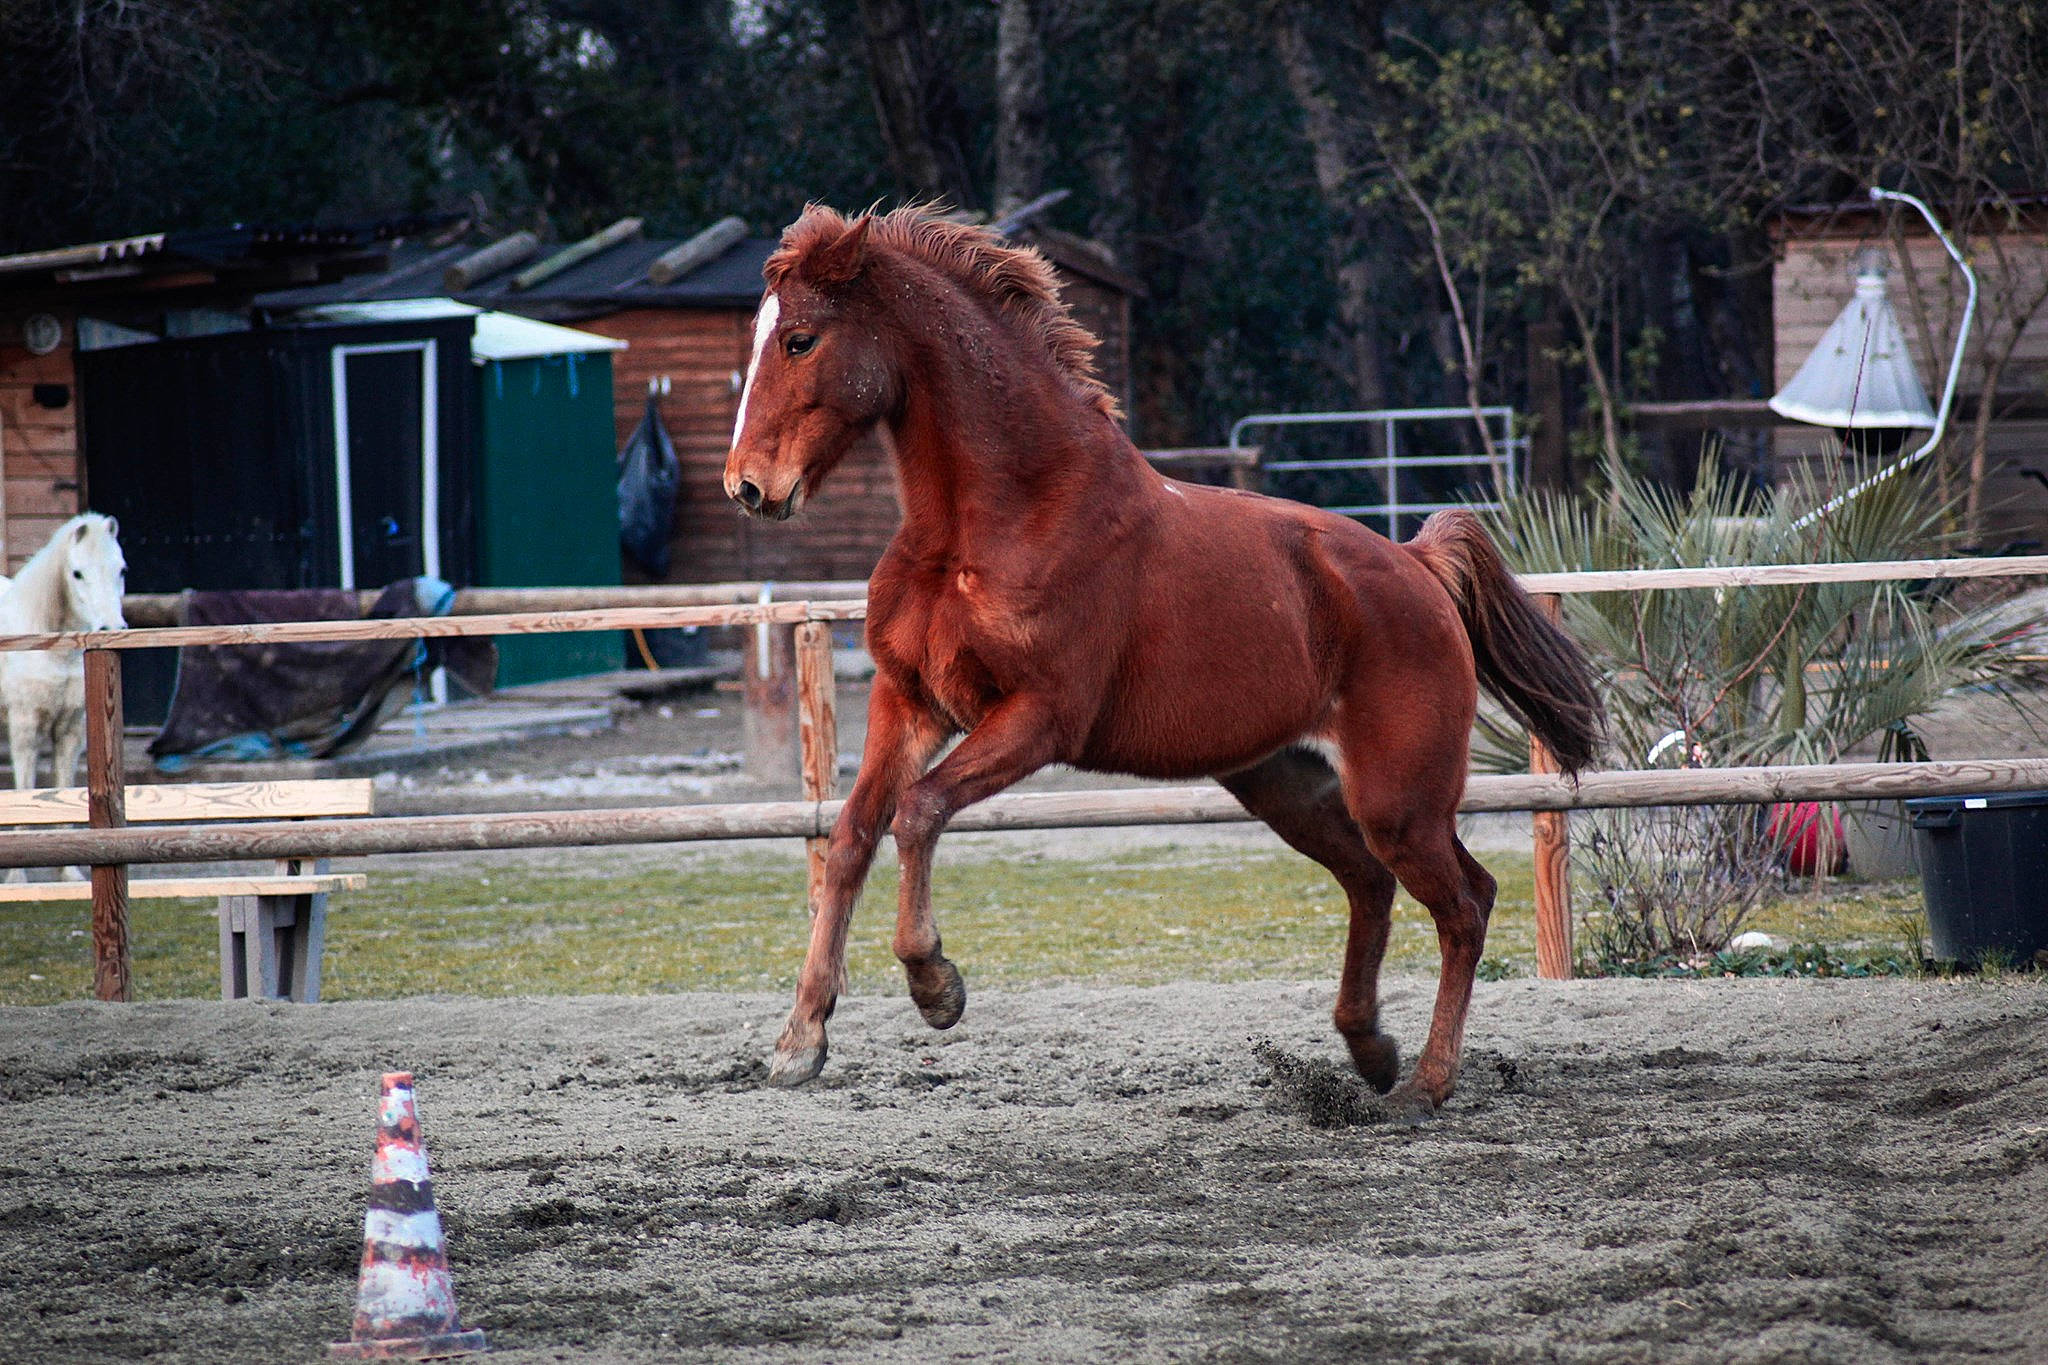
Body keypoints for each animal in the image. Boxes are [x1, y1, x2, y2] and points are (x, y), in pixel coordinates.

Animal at [0, 513, 127, 879]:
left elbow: (66, 791)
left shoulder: (70, 730)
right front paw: (17, 877)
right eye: (77, 573)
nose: (112, 629)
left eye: (121, 569)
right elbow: (25, 794)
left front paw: (69, 873)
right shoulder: (24, 727)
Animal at [723, 205, 1603, 1116]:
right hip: (1288, 785)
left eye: (801, 338)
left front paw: (936, 986)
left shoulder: (1038, 718)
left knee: (1466, 903)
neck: (998, 518)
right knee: (1372, 882)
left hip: (1398, 799)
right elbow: (853, 835)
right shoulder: (909, 702)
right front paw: (800, 1041)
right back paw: (1370, 1051)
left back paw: (1425, 1081)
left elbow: (920, 810)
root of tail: (1420, 568)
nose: (747, 486)